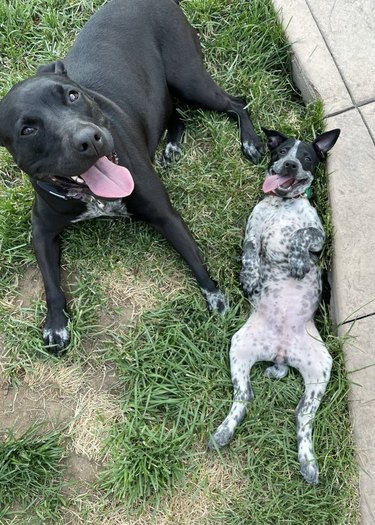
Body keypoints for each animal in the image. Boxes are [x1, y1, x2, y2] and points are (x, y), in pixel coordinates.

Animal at [0, 1, 264, 352]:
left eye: (72, 96)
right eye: (27, 130)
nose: (88, 139)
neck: (95, 199)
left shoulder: (165, 215)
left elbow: (195, 258)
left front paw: (217, 300)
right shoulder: (41, 230)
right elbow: (50, 283)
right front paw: (56, 325)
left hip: (188, 79)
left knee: (237, 103)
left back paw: (250, 142)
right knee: (175, 114)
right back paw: (172, 144)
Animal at [210, 127, 342, 484]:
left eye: (307, 156)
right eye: (281, 150)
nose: (290, 164)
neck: (283, 204)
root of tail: (281, 354)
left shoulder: (319, 237)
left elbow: (301, 235)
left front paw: (297, 262)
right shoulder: (251, 232)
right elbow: (250, 249)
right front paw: (250, 276)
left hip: (321, 369)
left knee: (302, 418)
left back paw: (308, 463)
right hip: (239, 346)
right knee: (245, 397)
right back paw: (223, 432)